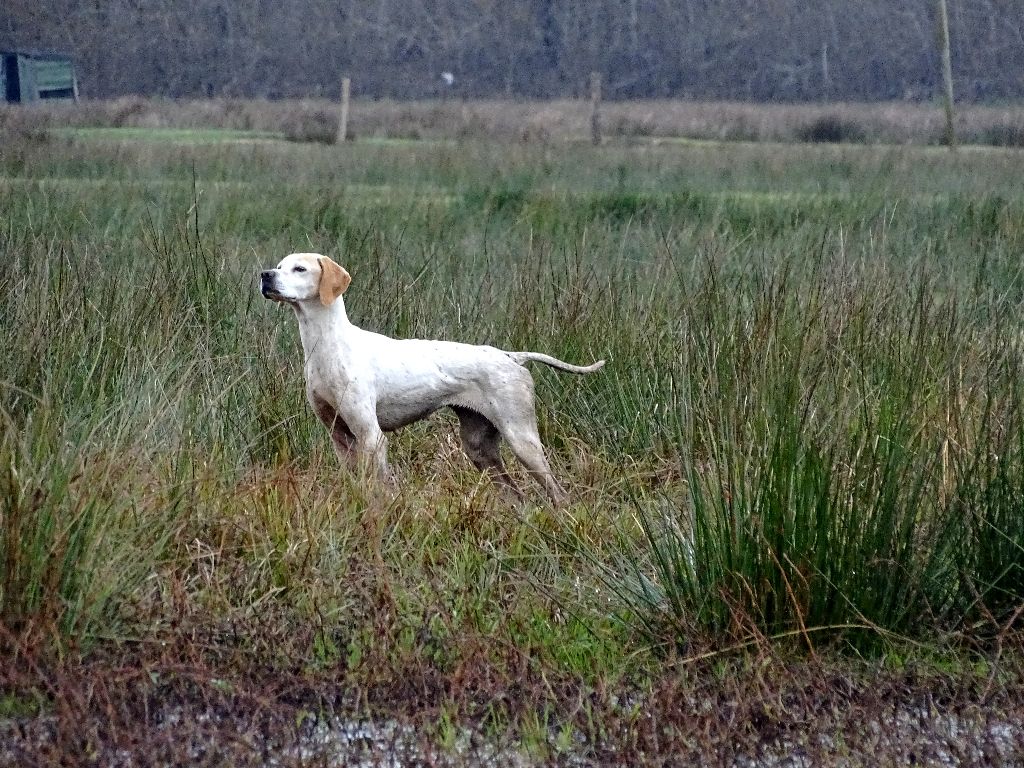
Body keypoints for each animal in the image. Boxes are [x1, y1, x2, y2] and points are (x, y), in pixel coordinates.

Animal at [260, 253, 602, 505]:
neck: (327, 345)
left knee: (558, 494)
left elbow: (380, 490)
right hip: (480, 449)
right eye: (279, 266)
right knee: (516, 497)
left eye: (299, 268)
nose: (265, 275)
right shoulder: (340, 437)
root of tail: (510, 356)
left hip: (523, 440)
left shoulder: (371, 436)